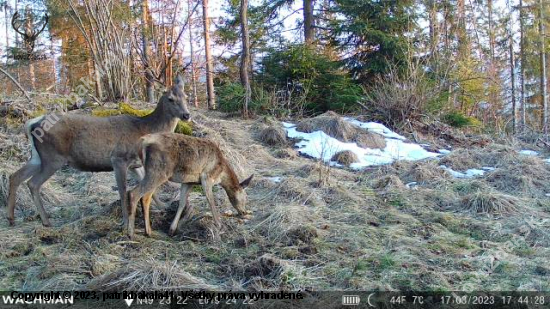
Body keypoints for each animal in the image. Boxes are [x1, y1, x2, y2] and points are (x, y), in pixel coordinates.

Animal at [5, 76, 192, 229]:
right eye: (170, 99)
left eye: (186, 97)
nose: (187, 115)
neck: (144, 129)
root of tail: (32, 122)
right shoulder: (118, 159)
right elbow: (123, 191)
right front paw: (125, 223)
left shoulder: (135, 164)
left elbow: (146, 187)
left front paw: (163, 208)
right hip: (53, 157)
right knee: (33, 183)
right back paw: (45, 221)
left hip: (38, 157)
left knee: (15, 176)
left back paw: (11, 218)